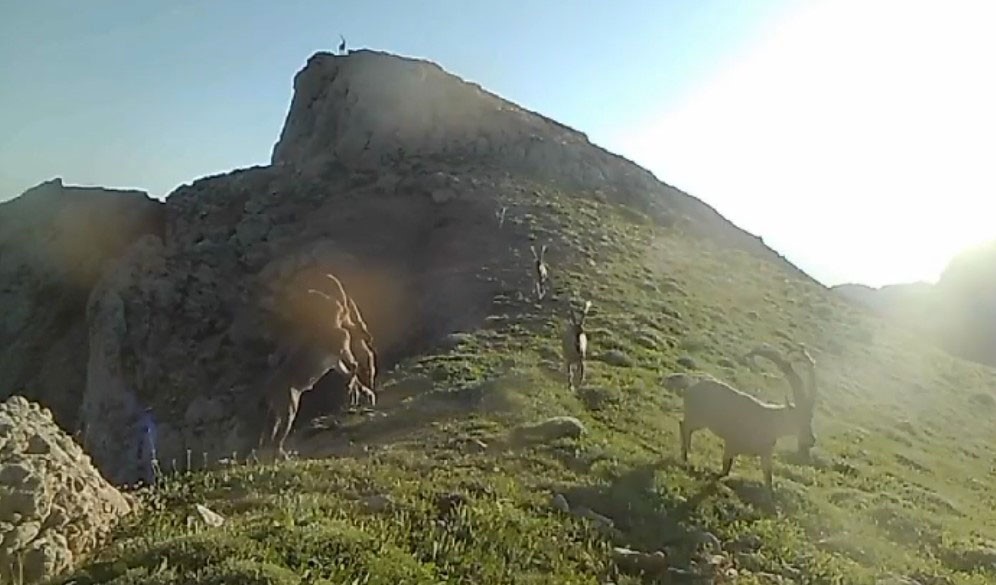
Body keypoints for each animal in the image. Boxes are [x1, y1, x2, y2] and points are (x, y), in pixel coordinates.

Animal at [676, 342, 816, 488]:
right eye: (797, 418)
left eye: (810, 418)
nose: (812, 440)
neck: (769, 422)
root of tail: (691, 387)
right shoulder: (731, 444)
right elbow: (725, 469)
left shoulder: (765, 454)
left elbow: (768, 477)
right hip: (697, 418)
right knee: (684, 425)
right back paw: (685, 456)